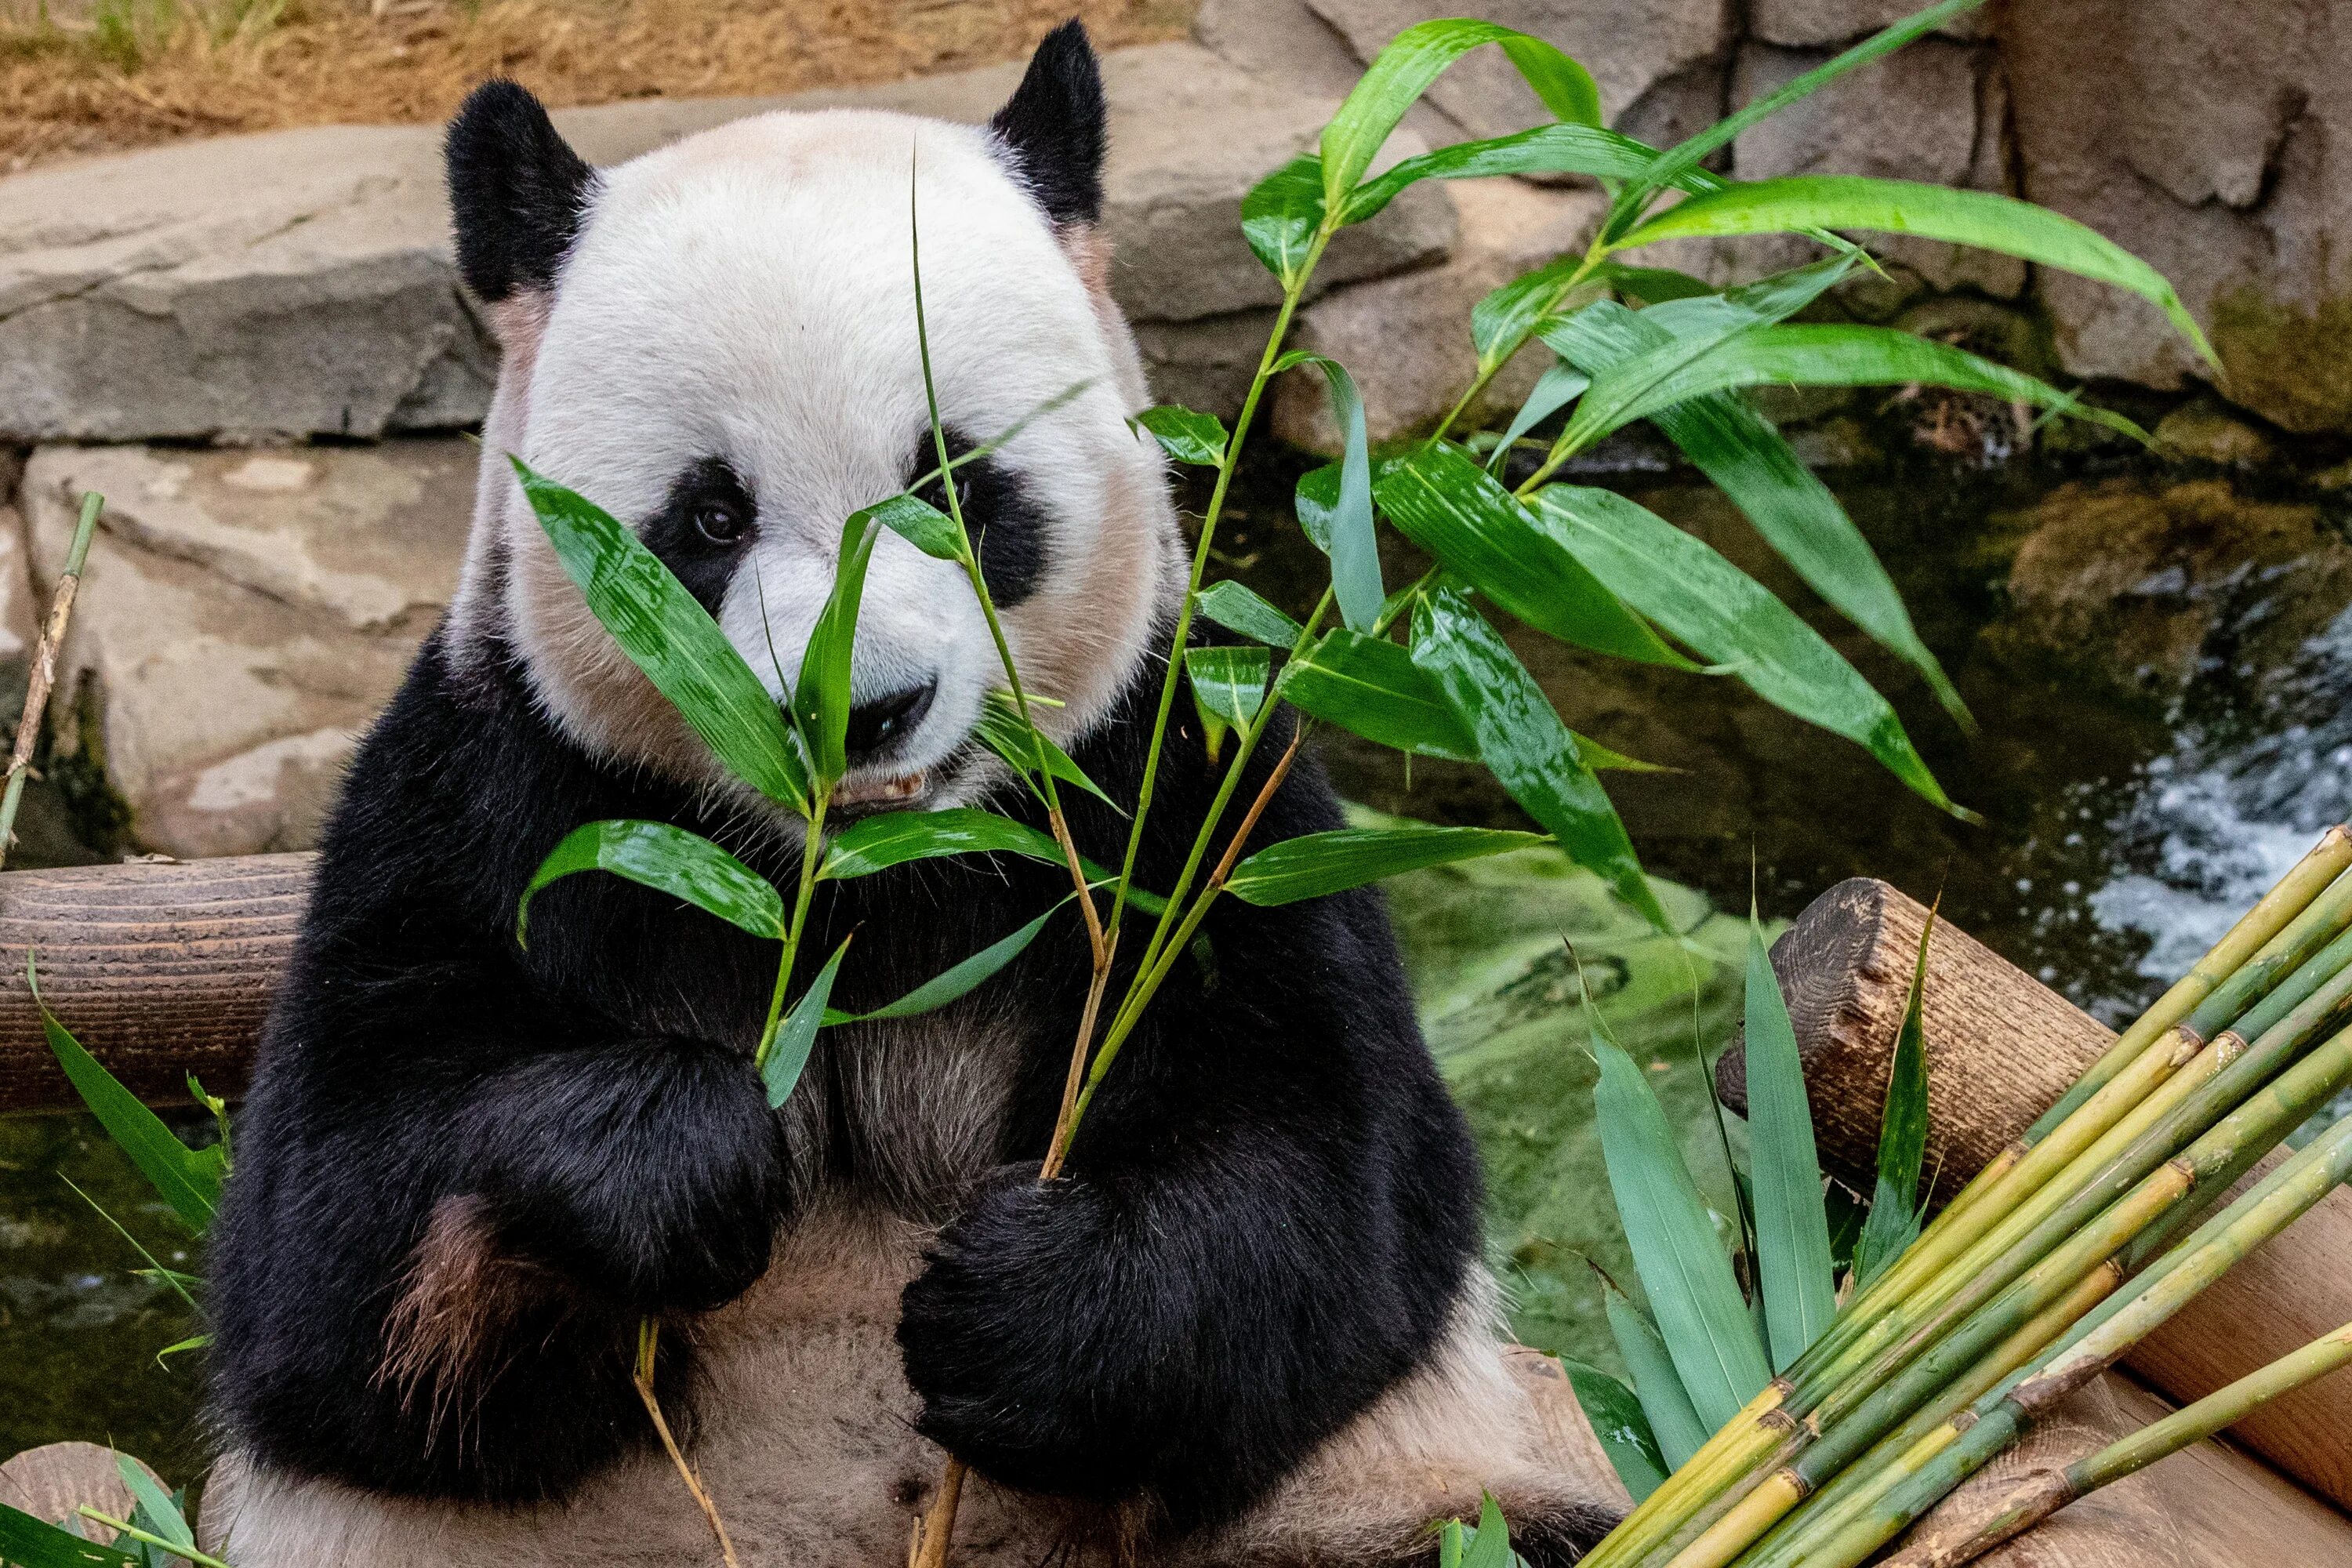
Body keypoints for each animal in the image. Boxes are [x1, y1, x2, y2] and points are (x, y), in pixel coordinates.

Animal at [202, 24, 1628, 1568]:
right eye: (710, 517)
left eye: (951, 481)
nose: (859, 709)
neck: (864, 880)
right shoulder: (497, 792)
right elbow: (331, 1257)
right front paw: (676, 1157)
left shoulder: (1182, 792)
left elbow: (1332, 1183)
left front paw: (1024, 1308)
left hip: (1369, 1505)